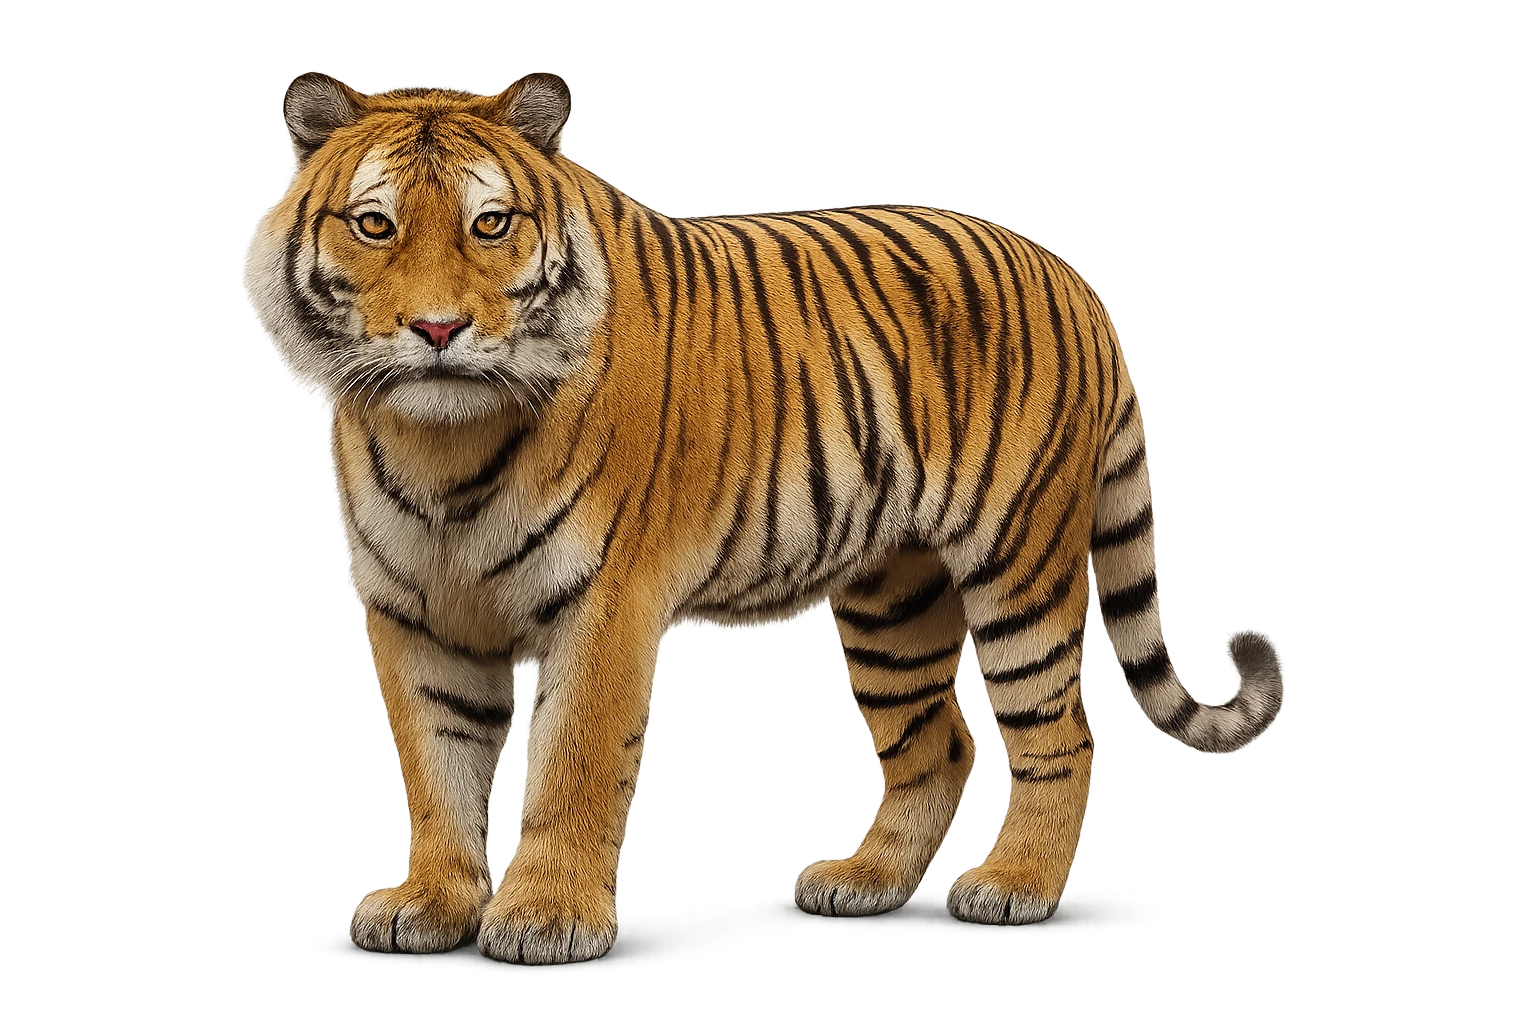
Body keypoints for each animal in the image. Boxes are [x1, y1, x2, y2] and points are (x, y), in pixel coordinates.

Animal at [239, 70, 1285, 965]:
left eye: (490, 223)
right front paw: (432, 903)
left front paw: (544, 917)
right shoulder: (414, 609)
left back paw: (1012, 884)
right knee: (940, 740)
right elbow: (436, 767)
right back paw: (866, 878)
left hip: (1015, 561)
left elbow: (573, 764)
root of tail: (1071, 273)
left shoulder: (605, 602)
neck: (441, 441)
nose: (438, 332)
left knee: (1058, 730)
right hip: (893, 599)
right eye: (374, 225)